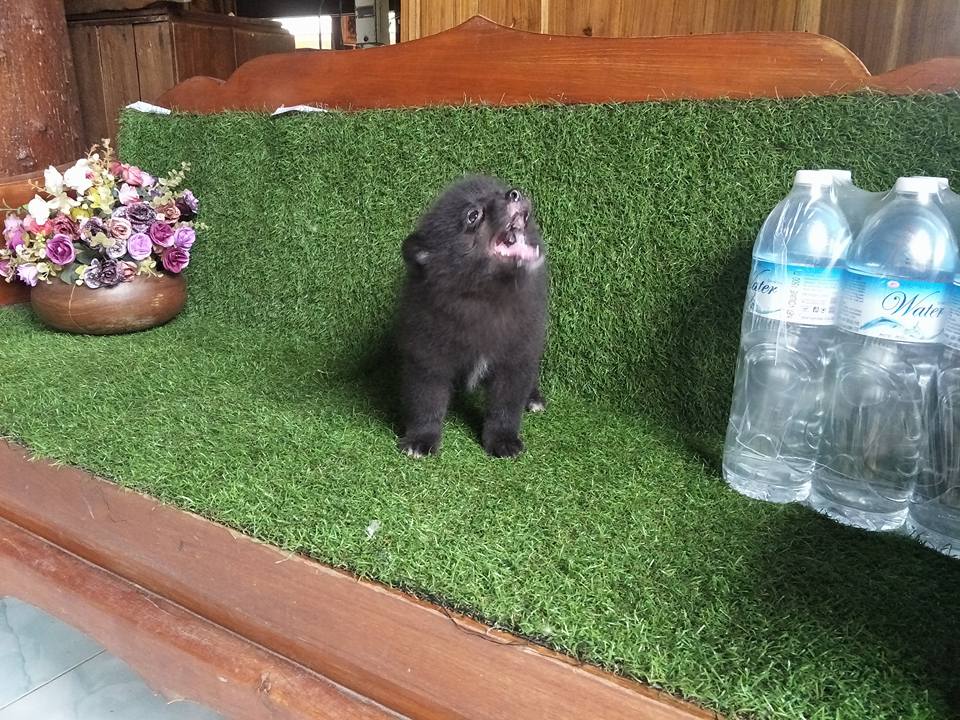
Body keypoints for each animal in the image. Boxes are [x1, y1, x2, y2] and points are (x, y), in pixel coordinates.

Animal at [396, 176, 548, 458]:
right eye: (473, 215)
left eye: (501, 191)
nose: (514, 193)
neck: (485, 298)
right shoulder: (428, 356)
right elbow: (426, 403)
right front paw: (421, 439)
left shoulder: (515, 355)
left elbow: (506, 406)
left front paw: (503, 440)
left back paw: (533, 398)